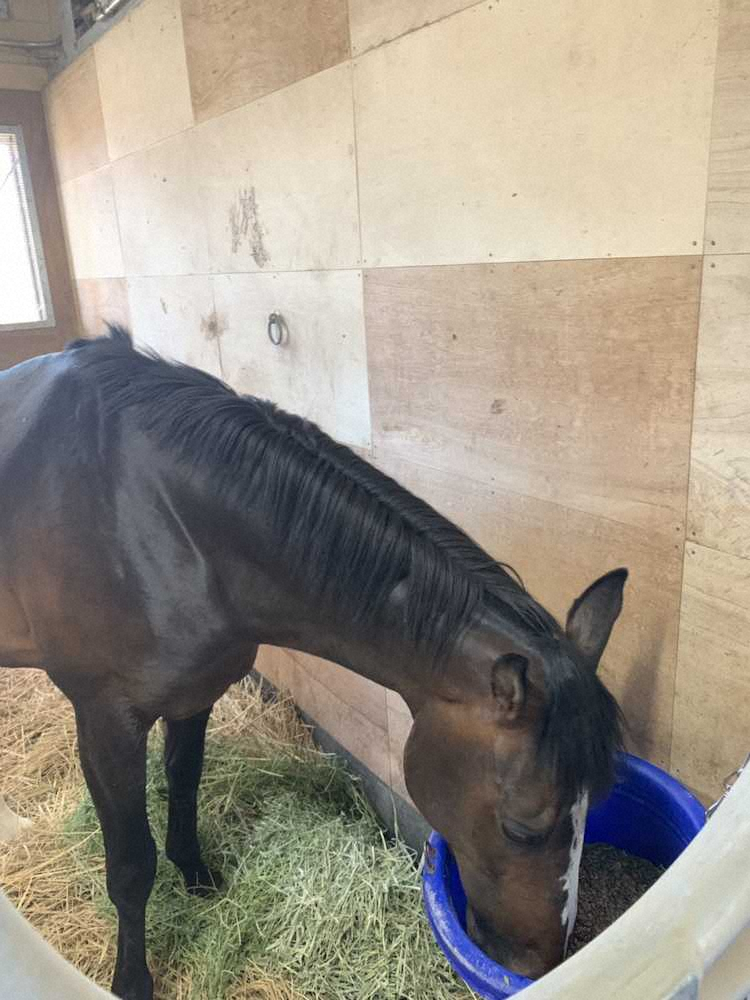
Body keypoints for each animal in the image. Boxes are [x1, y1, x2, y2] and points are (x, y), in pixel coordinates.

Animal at [0, 327, 627, 1000]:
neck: (150, 513)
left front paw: (196, 876)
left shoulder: (194, 693)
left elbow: (184, 783)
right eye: (523, 829)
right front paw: (132, 978)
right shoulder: (105, 720)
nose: (541, 964)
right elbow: (130, 864)